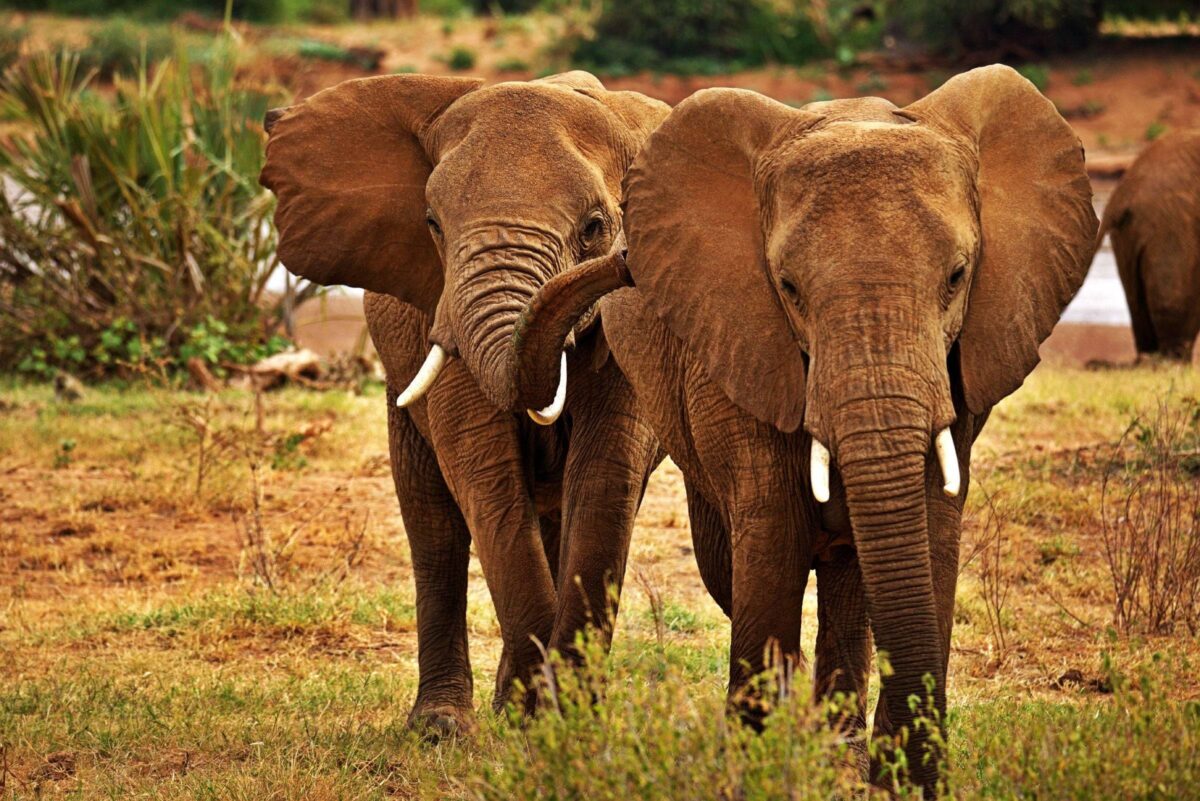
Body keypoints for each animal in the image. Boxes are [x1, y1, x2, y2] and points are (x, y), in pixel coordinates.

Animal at [259, 71, 669, 735]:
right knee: (435, 531)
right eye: (431, 223)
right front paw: (534, 715)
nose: (626, 263)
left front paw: (566, 721)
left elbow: (607, 475)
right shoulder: (437, 302)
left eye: (595, 228)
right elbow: (482, 468)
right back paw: (441, 725)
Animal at [511, 65, 1097, 793]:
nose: (620, 254)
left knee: (849, 572)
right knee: (737, 565)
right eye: (788, 287)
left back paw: (836, 752)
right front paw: (759, 769)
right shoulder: (742, 342)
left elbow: (931, 531)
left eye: (959, 277)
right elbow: (771, 536)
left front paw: (890, 780)